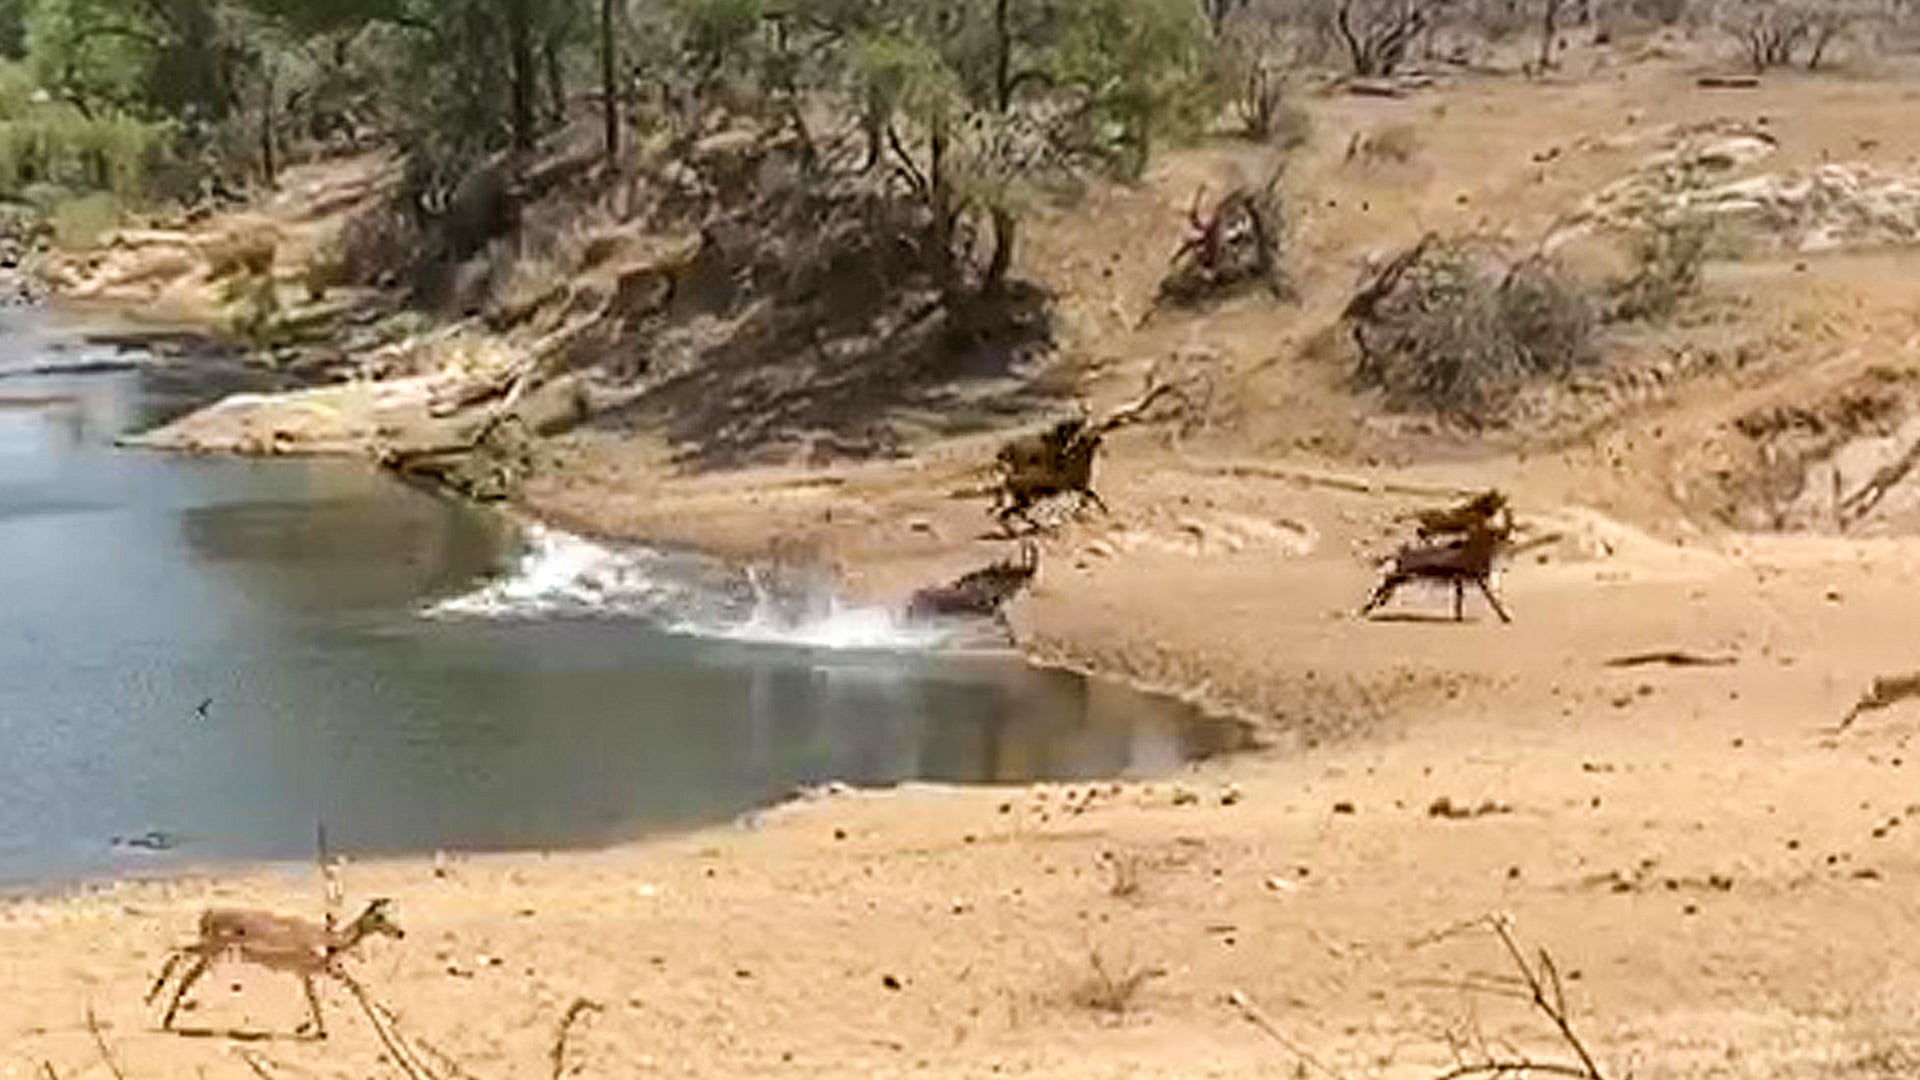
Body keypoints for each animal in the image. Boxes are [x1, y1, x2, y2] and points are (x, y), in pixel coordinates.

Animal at [146, 897, 404, 1038]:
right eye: (379, 917)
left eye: (389, 914)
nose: (401, 932)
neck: (329, 939)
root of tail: (208, 913)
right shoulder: (317, 969)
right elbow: (350, 987)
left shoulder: (309, 972)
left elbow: (324, 994)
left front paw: (320, 1030)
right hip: (213, 950)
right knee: (182, 963)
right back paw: (158, 1008)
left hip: (211, 951)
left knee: (183, 964)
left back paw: (163, 1015)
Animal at [1361, 517, 1513, 623]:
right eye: (1498, 533)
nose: (1509, 540)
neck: (1477, 548)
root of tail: (1401, 553)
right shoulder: (1477, 578)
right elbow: (1492, 598)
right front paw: (1505, 617)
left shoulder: (1459, 579)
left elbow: (1460, 599)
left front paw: (1458, 617)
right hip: (1404, 574)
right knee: (1384, 584)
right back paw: (1368, 608)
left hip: (1404, 576)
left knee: (1386, 585)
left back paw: (1375, 605)